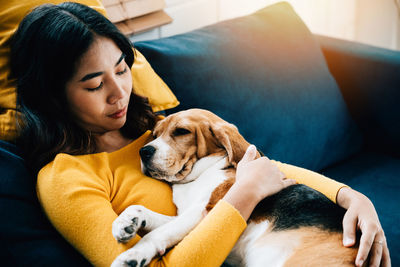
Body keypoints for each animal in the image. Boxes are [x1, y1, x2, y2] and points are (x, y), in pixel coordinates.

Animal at [111, 109, 358, 267]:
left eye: (181, 131)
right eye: (154, 134)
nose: (143, 152)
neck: (199, 175)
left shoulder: (205, 211)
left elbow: (157, 234)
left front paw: (135, 254)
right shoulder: (190, 213)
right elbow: (142, 211)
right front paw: (126, 223)